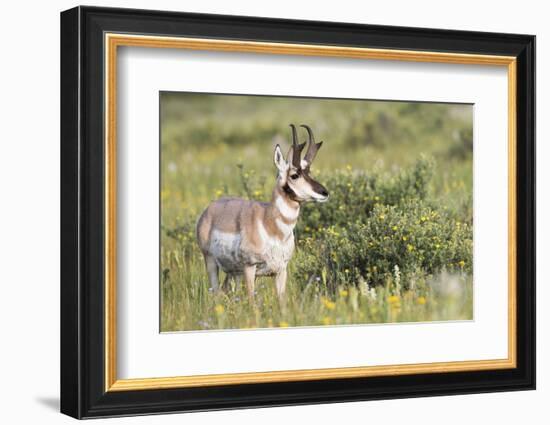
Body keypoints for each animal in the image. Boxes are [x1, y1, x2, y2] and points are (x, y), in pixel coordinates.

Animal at [197, 123, 330, 298]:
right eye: (294, 175)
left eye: (309, 172)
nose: (325, 192)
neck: (270, 225)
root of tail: (210, 208)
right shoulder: (249, 268)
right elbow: (252, 302)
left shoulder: (281, 270)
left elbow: (282, 300)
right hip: (211, 262)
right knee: (216, 293)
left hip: (233, 273)